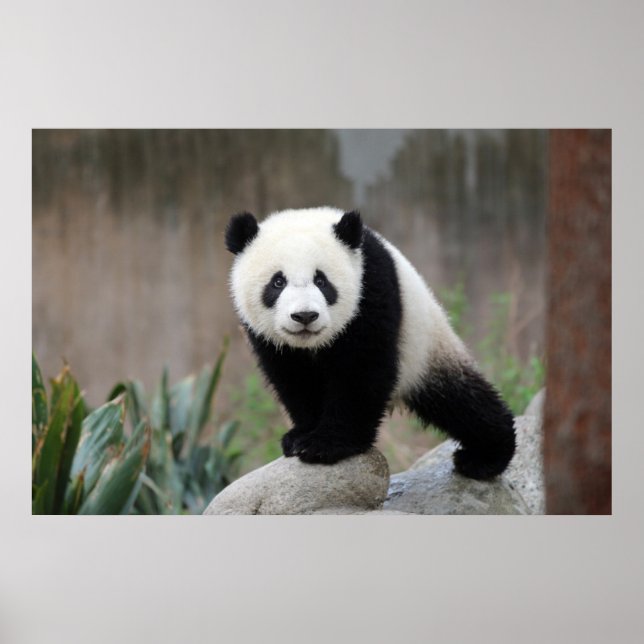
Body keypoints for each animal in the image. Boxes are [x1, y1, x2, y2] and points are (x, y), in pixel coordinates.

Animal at [225, 207, 515, 480]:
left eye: (321, 281)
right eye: (277, 282)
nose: (305, 316)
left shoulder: (371, 287)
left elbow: (362, 369)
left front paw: (327, 444)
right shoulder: (269, 339)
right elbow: (294, 378)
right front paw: (300, 436)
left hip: (425, 347)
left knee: (460, 400)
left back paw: (485, 457)